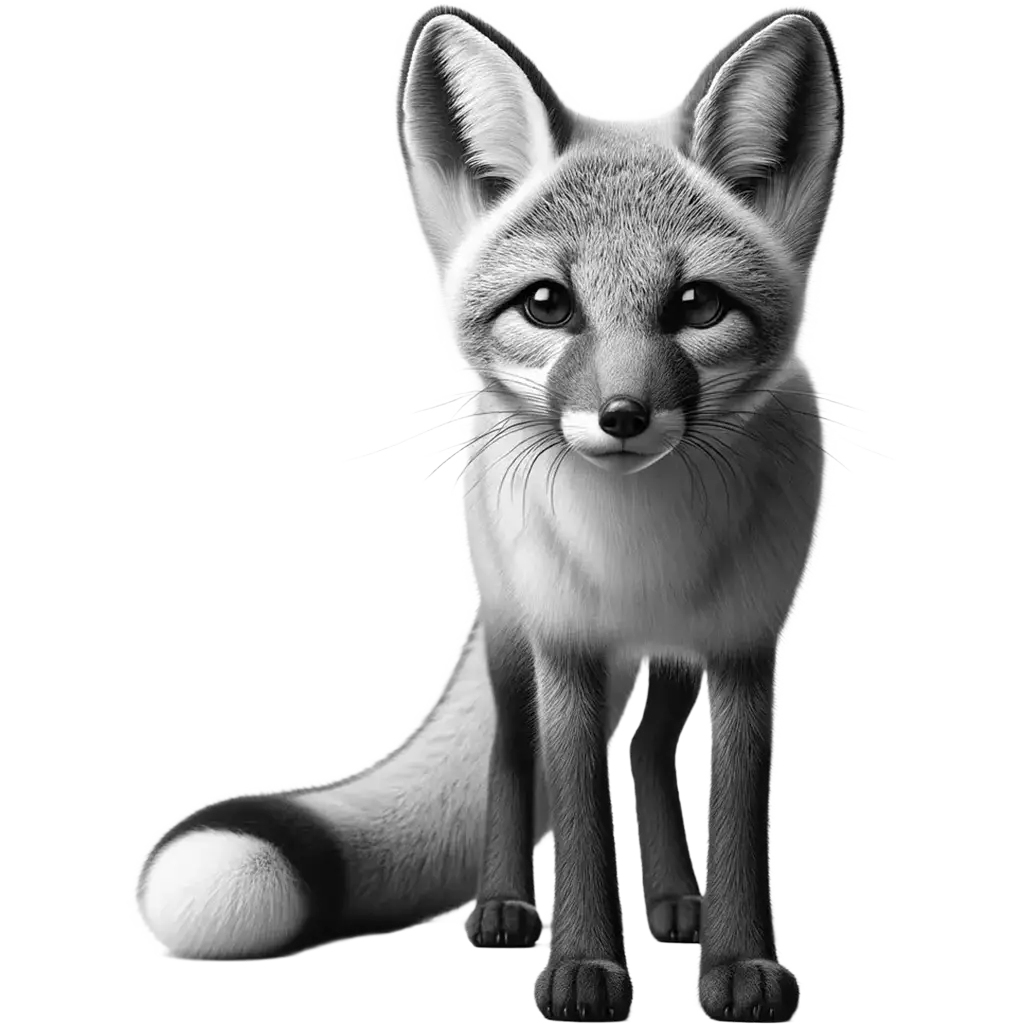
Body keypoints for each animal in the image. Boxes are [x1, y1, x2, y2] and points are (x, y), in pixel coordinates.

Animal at [136, 4, 844, 1022]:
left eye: (697, 306)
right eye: (547, 304)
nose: (622, 417)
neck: (640, 554)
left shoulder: (746, 644)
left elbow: (741, 818)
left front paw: (741, 964)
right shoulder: (567, 646)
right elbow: (576, 815)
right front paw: (582, 969)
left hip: (672, 664)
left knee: (652, 748)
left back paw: (676, 900)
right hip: (513, 636)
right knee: (513, 754)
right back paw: (505, 906)